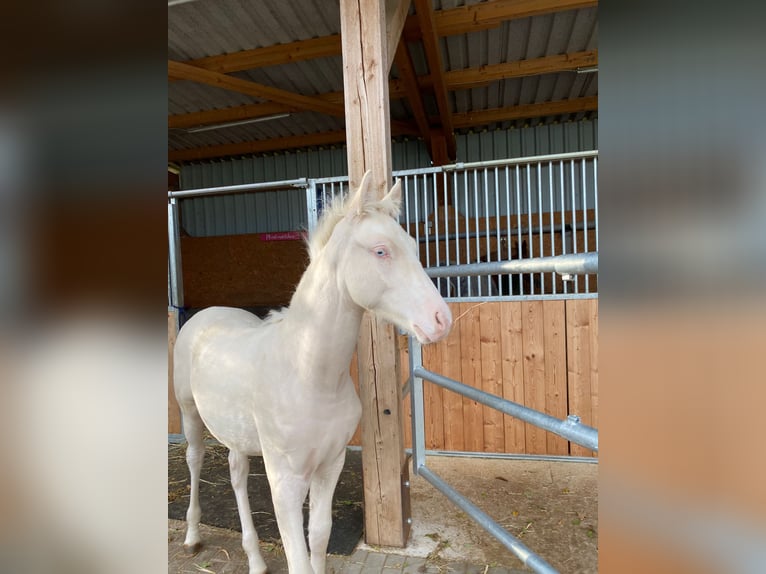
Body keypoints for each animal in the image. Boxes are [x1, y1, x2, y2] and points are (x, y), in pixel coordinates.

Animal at [173, 171, 452, 574]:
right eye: (381, 251)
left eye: (414, 247)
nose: (441, 320)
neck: (310, 377)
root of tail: (205, 315)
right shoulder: (285, 481)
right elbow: (298, 556)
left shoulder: (330, 464)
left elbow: (319, 536)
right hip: (190, 414)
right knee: (195, 461)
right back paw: (193, 536)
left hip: (236, 434)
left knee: (237, 474)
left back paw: (255, 558)